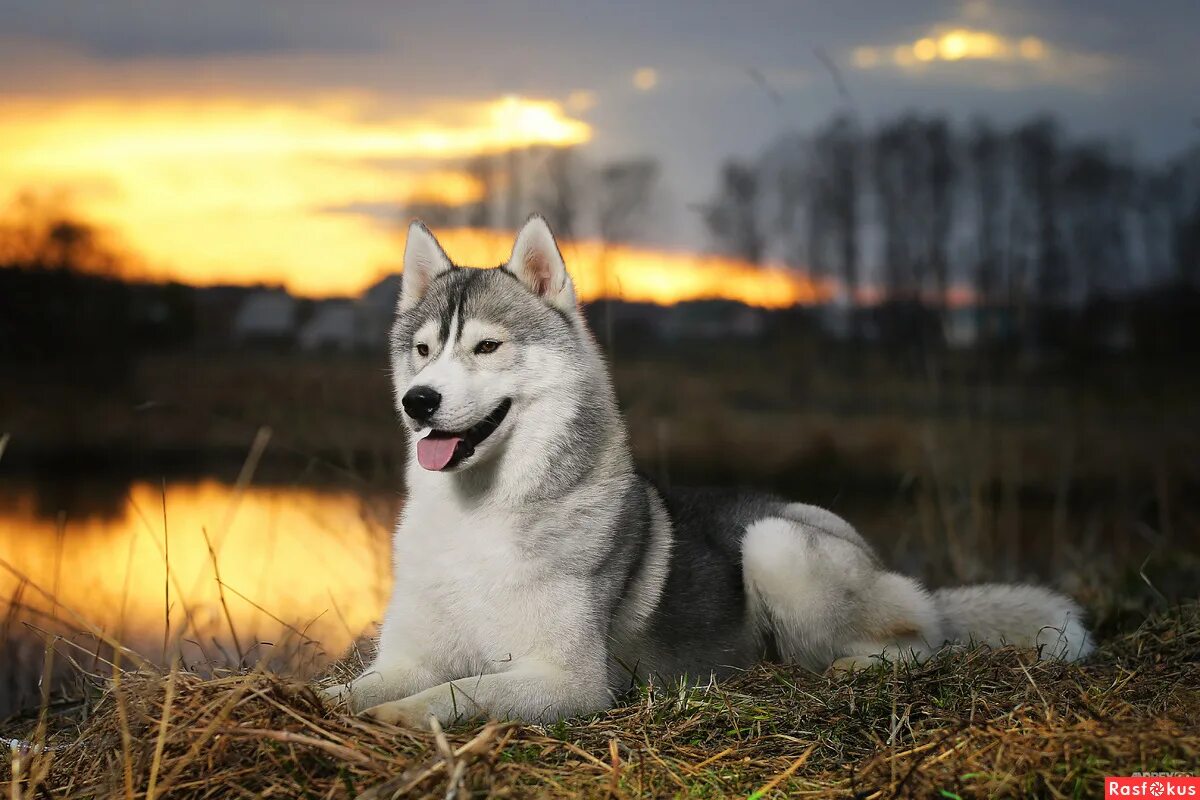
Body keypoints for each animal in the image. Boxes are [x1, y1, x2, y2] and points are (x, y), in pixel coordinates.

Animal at [324, 215, 1094, 729]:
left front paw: (400, 719)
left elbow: (460, 692)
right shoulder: (408, 656)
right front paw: (319, 703)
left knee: (920, 643)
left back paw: (851, 664)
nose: (419, 401)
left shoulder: (569, 681)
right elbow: (356, 688)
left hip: (776, 545)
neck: (478, 515)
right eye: (423, 351)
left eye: (486, 347)